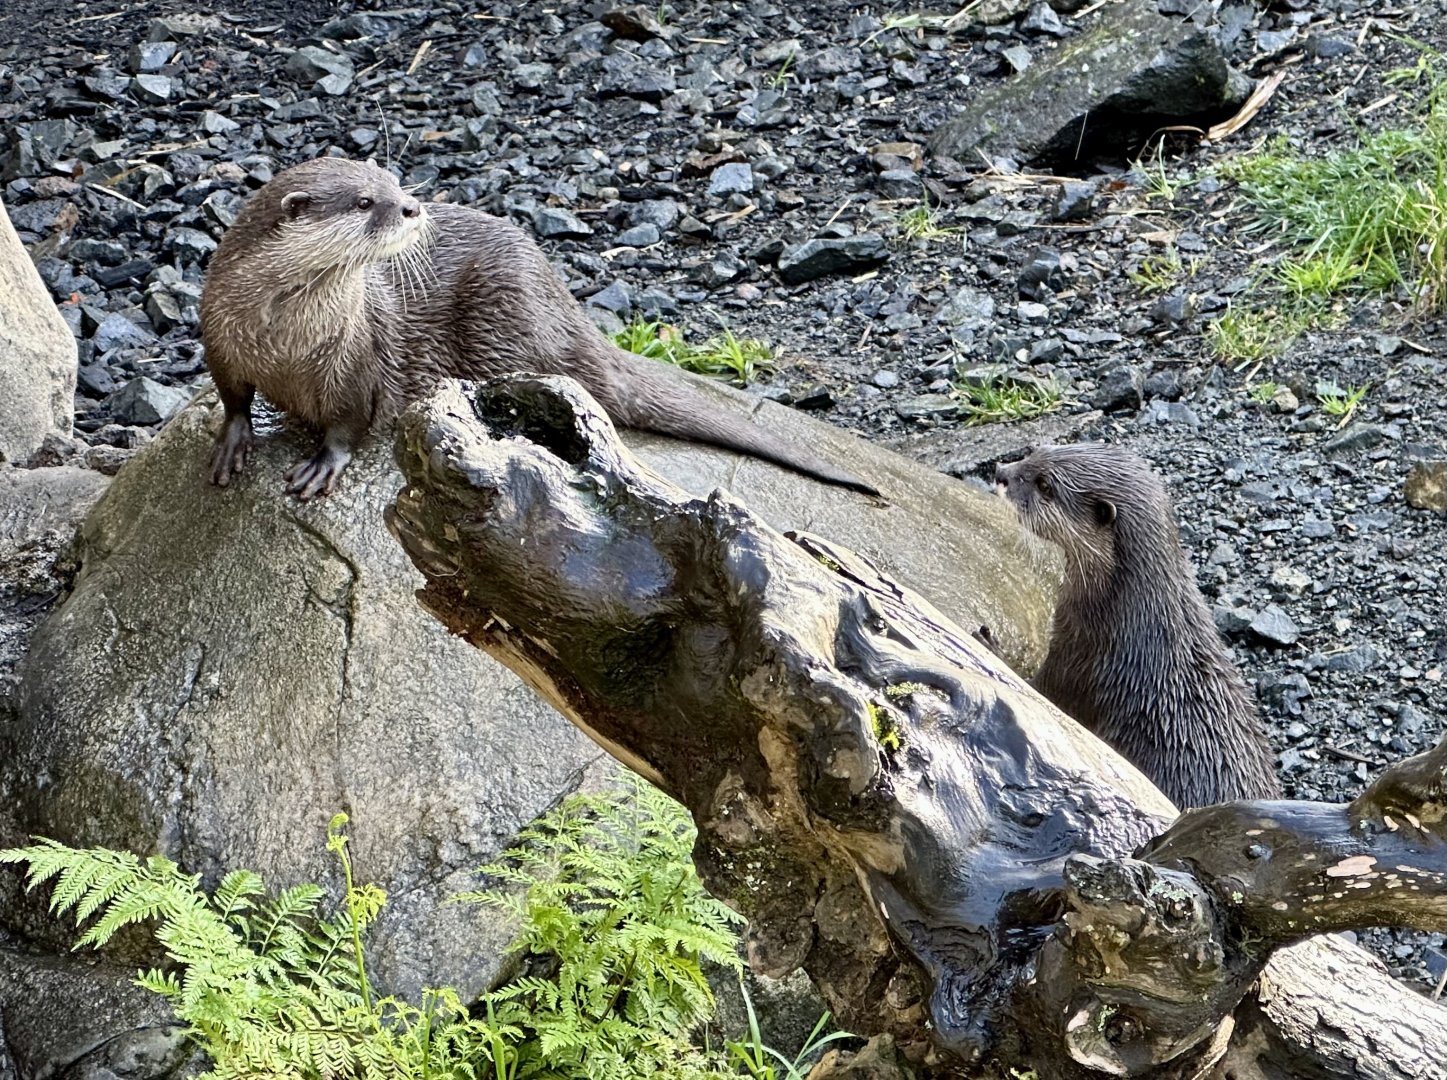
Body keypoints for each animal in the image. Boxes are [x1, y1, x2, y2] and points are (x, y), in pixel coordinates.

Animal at [199, 157, 879, 499]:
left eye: (393, 183)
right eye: (364, 201)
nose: (412, 207)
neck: (282, 334)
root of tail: (565, 305)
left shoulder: (356, 356)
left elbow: (348, 422)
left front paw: (323, 463)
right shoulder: (218, 333)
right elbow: (232, 396)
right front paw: (232, 442)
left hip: (507, 315)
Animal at [994, 443, 1280, 809]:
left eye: (1045, 486)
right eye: (1035, 451)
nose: (1000, 472)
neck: (1132, 629)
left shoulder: (1077, 664)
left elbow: (1036, 689)